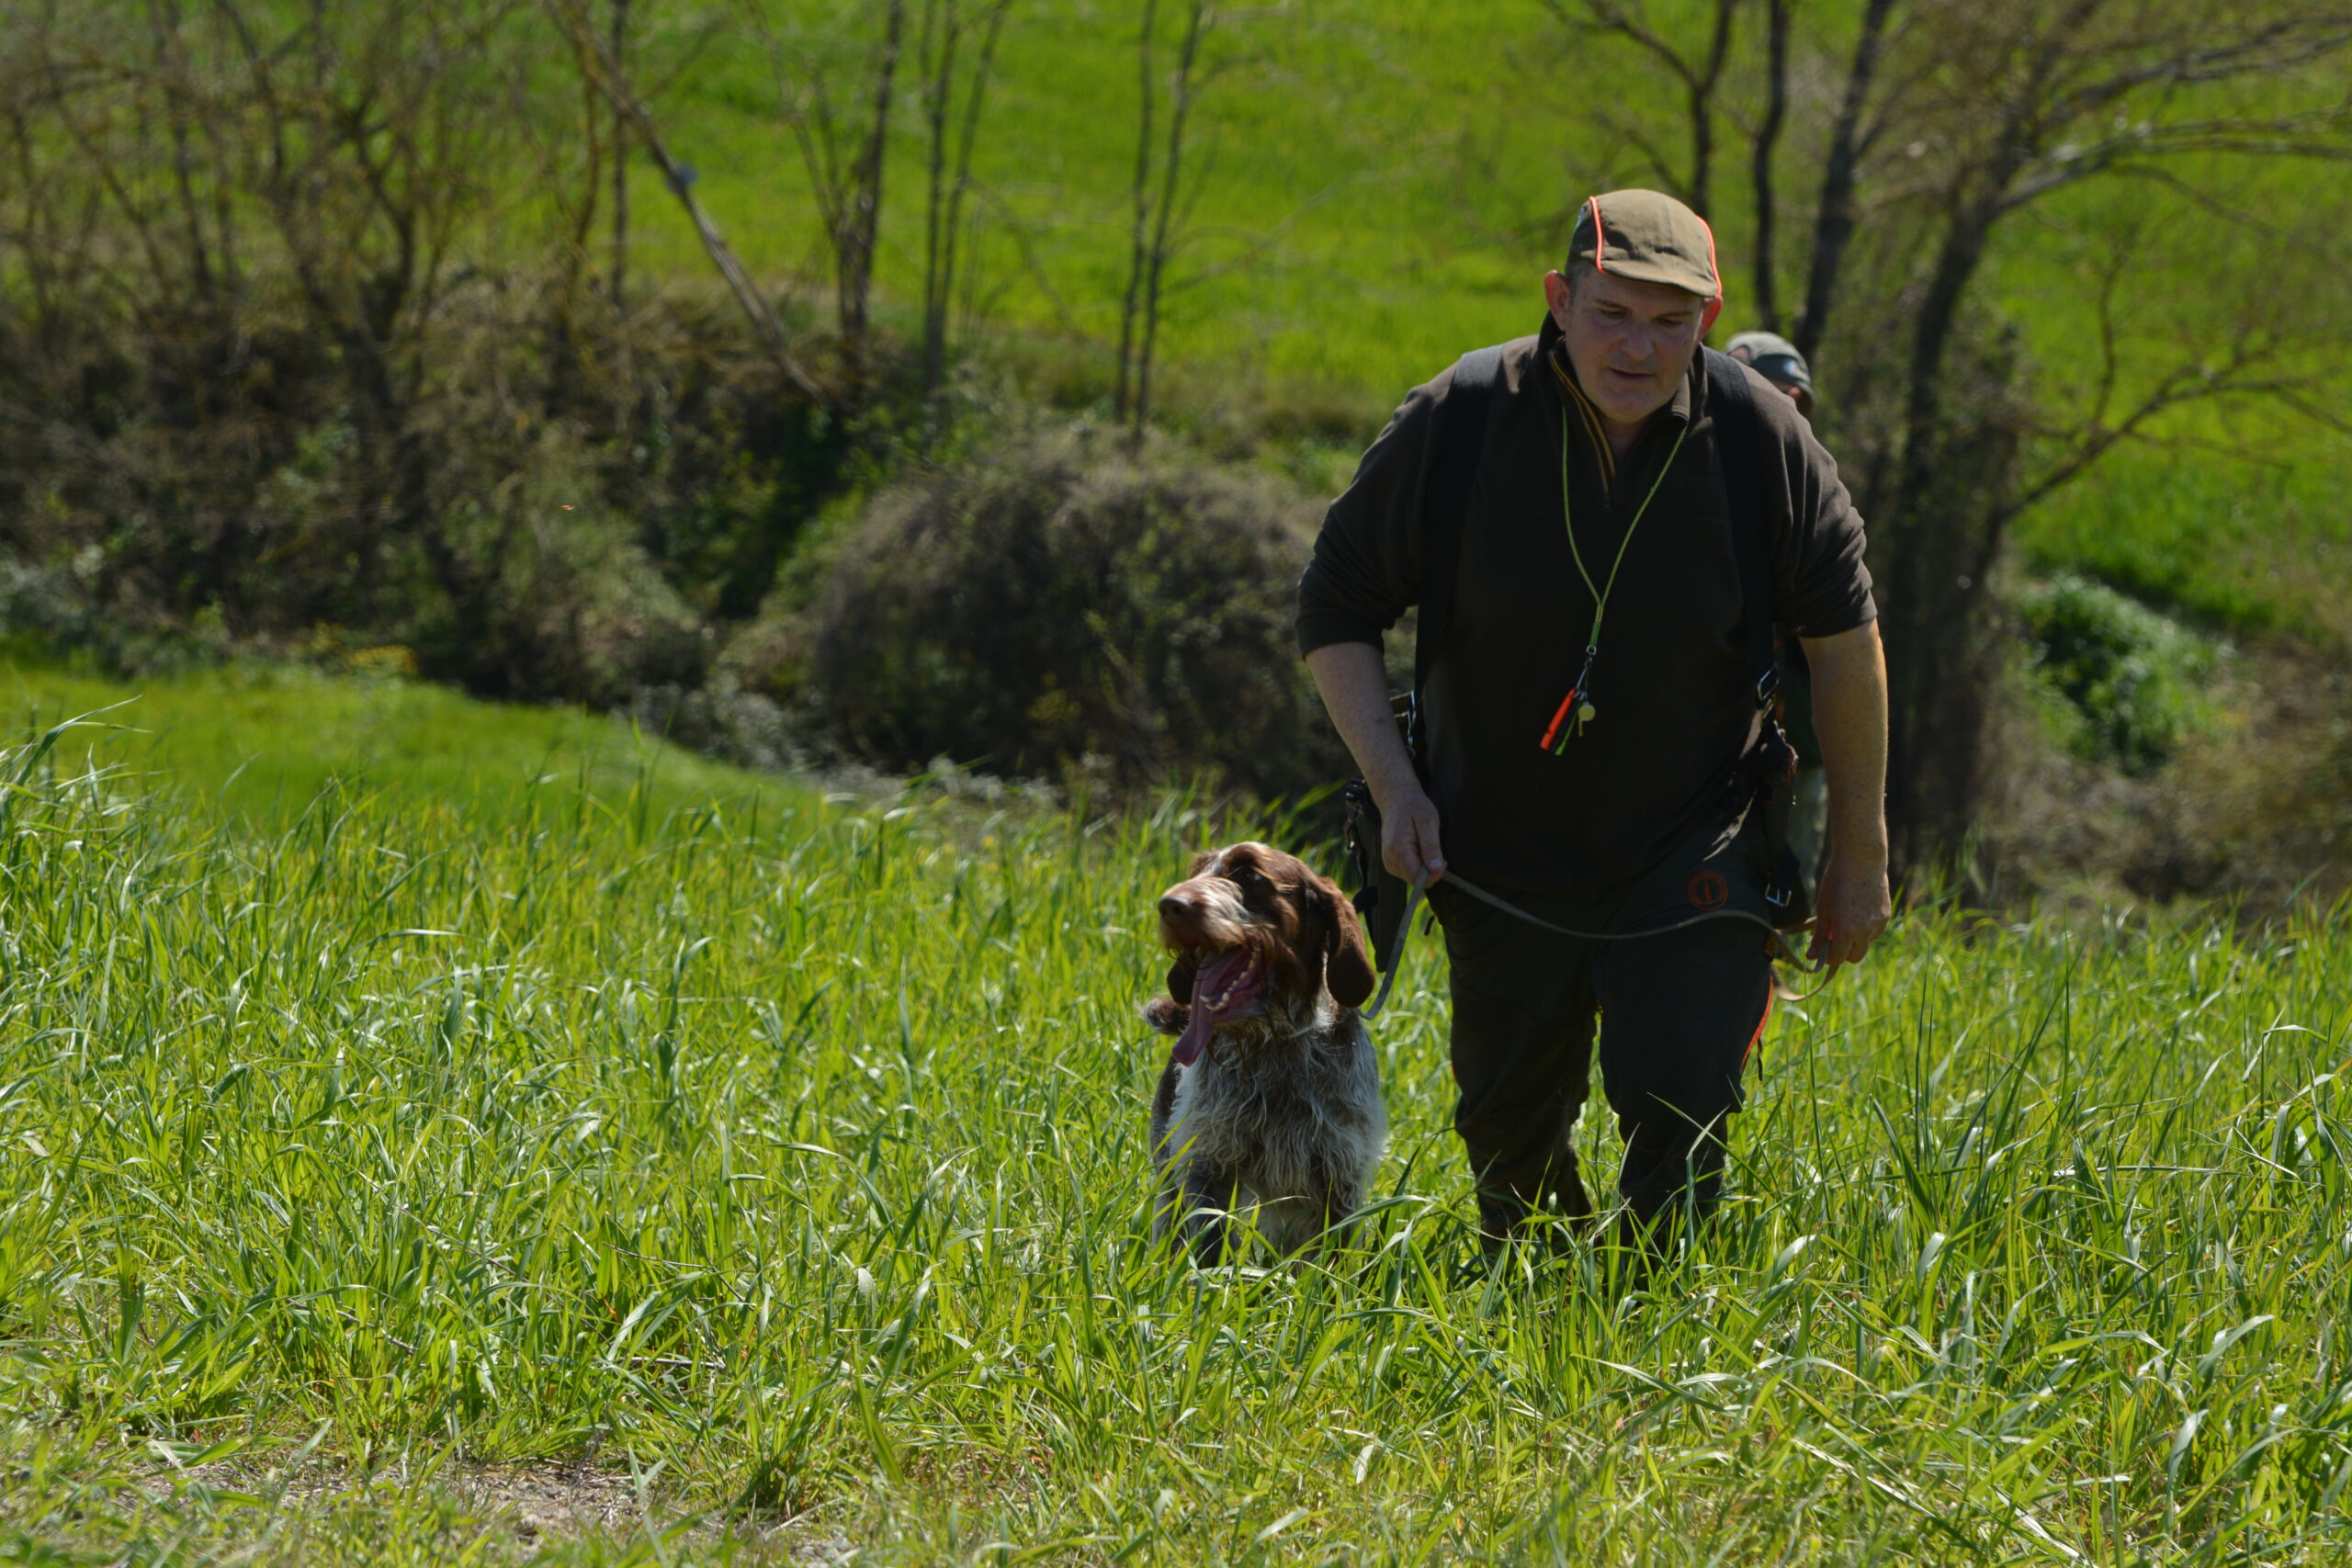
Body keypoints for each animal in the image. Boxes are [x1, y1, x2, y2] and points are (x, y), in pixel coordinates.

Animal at [1143, 841, 1386, 1264]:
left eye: (1249, 875)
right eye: (1197, 872)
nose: (1169, 905)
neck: (1277, 1044)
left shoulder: (1338, 1175)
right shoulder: (1207, 1164)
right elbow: (1209, 1244)